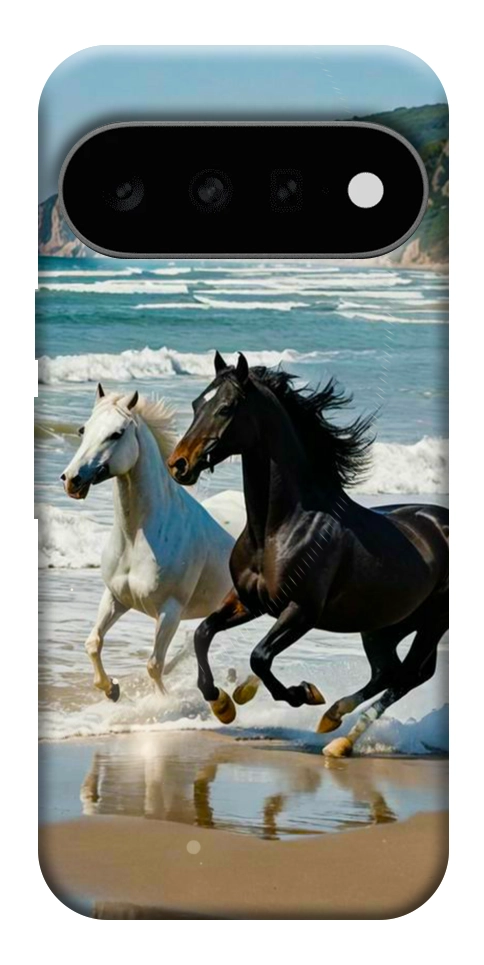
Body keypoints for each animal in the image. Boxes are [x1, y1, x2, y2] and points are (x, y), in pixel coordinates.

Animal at [61, 383, 234, 701]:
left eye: (116, 433)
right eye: (83, 429)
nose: (71, 480)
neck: (137, 538)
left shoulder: (170, 611)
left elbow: (154, 665)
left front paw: (162, 703)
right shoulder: (116, 597)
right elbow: (93, 642)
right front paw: (111, 689)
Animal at [167, 352, 449, 757]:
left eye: (226, 408)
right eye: (195, 404)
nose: (179, 464)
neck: (279, 528)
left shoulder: (301, 611)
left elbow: (260, 656)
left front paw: (302, 694)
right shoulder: (248, 601)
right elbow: (203, 634)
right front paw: (222, 704)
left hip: (431, 622)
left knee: (408, 675)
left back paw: (339, 737)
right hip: (383, 625)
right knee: (389, 672)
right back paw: (333, 721)